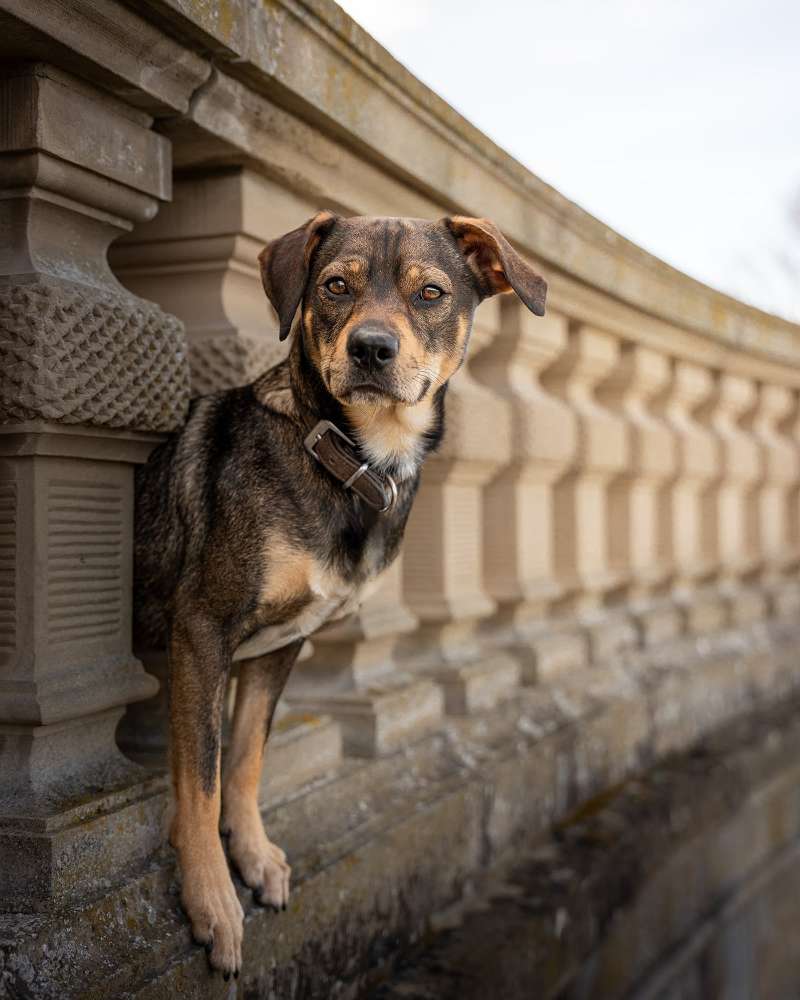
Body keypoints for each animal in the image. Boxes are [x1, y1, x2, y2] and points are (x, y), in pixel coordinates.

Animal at [134, 213, 548, 976]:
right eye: (334, 286)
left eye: (430, 292)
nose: (372, 348)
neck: (351, 460)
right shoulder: (202, 629)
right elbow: (201, 778)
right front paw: (212, 902)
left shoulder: (280, 646)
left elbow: (245, 759)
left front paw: (253, 855)